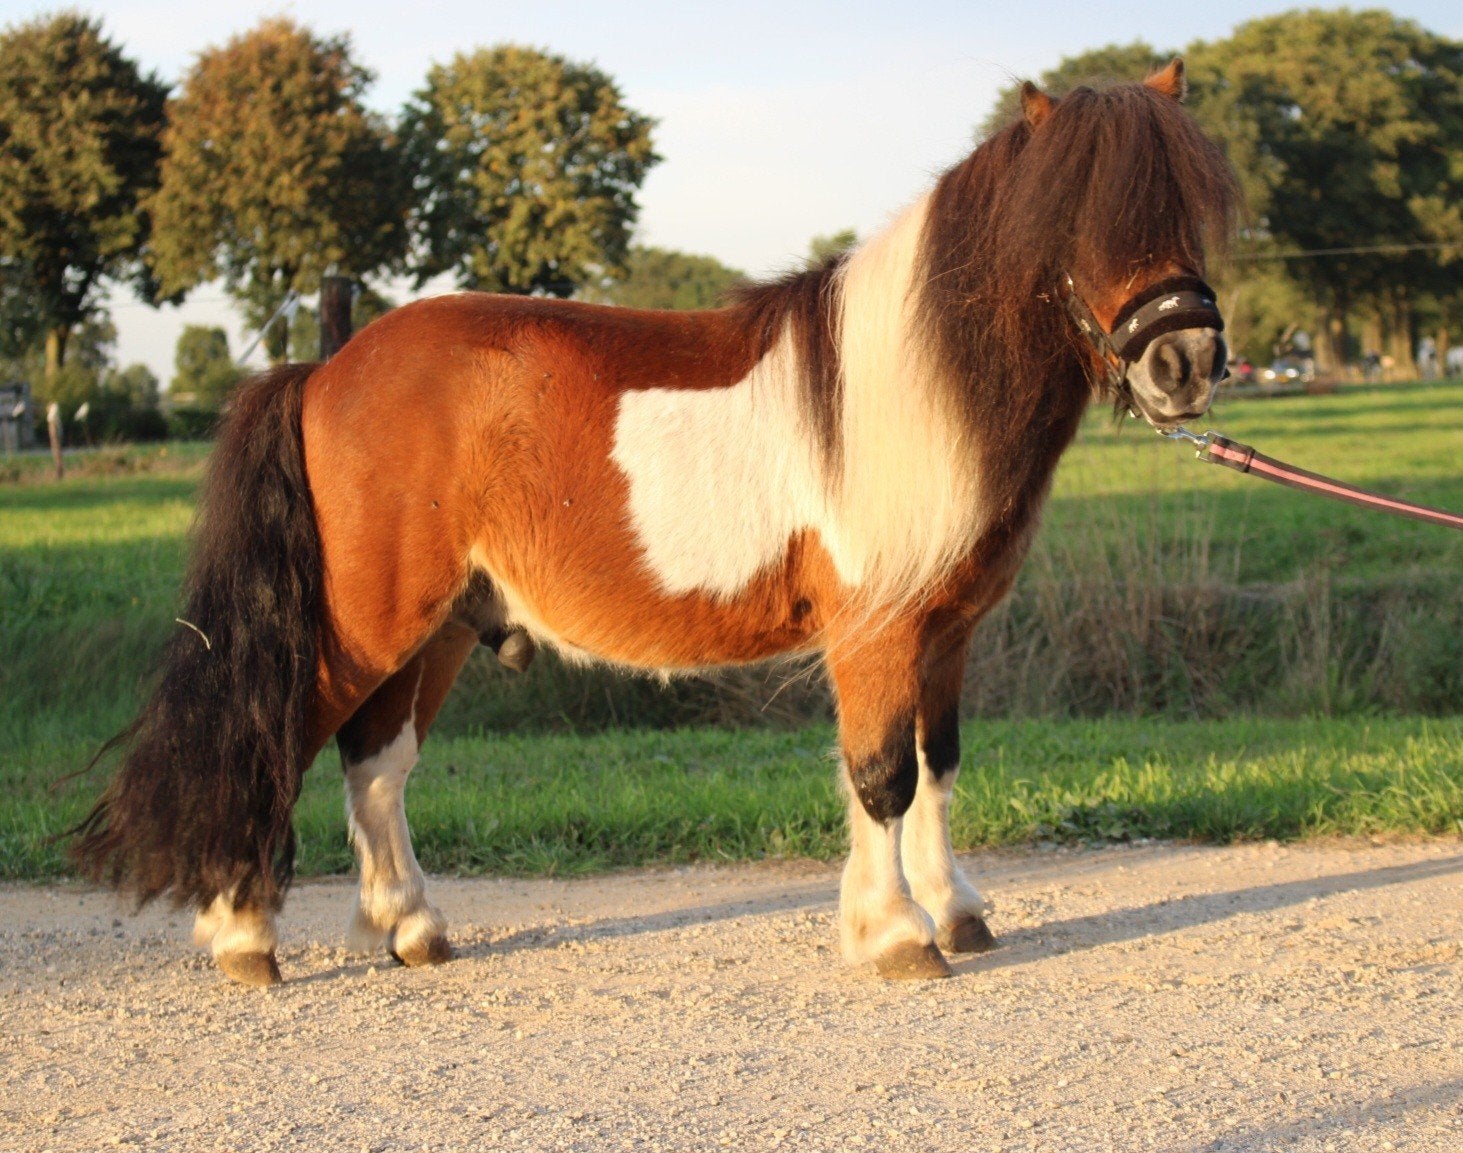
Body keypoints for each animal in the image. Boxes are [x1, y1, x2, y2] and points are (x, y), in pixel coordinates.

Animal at [73, 60, 1239, 987]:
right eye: (1077, 214)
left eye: (1188, 204)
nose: (1184, 363)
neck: (914, 385)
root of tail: (325, 371)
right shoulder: (877, 633)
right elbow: (881, 777)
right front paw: (897, 935)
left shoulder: (945, 633)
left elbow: (938, 768)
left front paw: (955, 911)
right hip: (364, 622)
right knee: (281, 738)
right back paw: (242, 935)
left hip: (437, 626)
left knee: (376, 763)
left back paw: (410, 927)